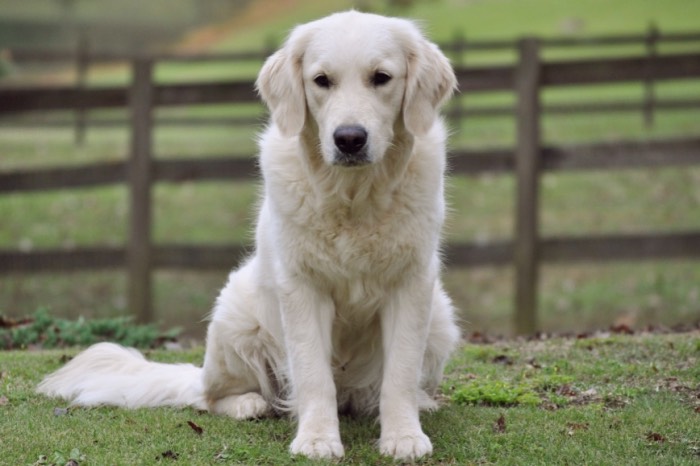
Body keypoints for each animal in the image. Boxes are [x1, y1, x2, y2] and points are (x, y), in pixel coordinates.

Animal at [41, 9, 462, 460]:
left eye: (381, 77)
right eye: (321, 80)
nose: (349, 139)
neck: (353, 197)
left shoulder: (412, 283)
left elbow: (400, 371)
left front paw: (403, 436)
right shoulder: (301, 287)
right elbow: (313, 373)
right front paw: (317, 439)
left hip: (441, 317)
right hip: (235, 316)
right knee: (210, 397)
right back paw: (249, 403)